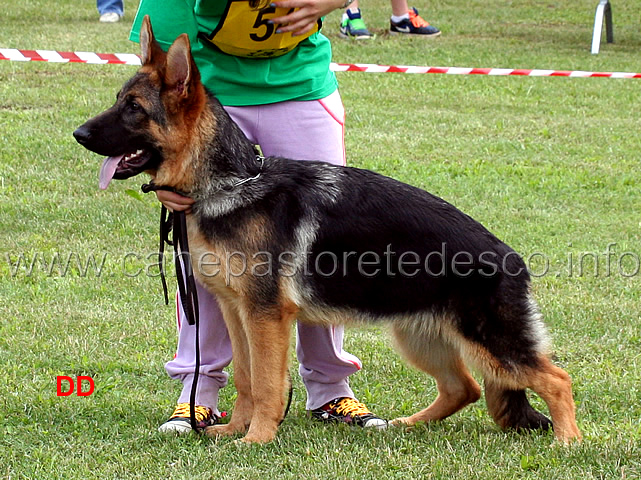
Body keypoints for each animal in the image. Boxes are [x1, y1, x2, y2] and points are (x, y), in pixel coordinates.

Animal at [74, 16, 580, 444]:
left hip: (490, 342)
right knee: (465, 388)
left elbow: (268, 383)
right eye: (119, 101)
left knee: (556, 379)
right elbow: (245, 378)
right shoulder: (237, 312)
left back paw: (567, 442)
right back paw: (406, 425)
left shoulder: (266, 317)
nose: (77, 134)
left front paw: (256, 439)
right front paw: (233, 430)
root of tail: (511, 258)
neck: (233, 183)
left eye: (134, 108)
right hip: (419, 337)